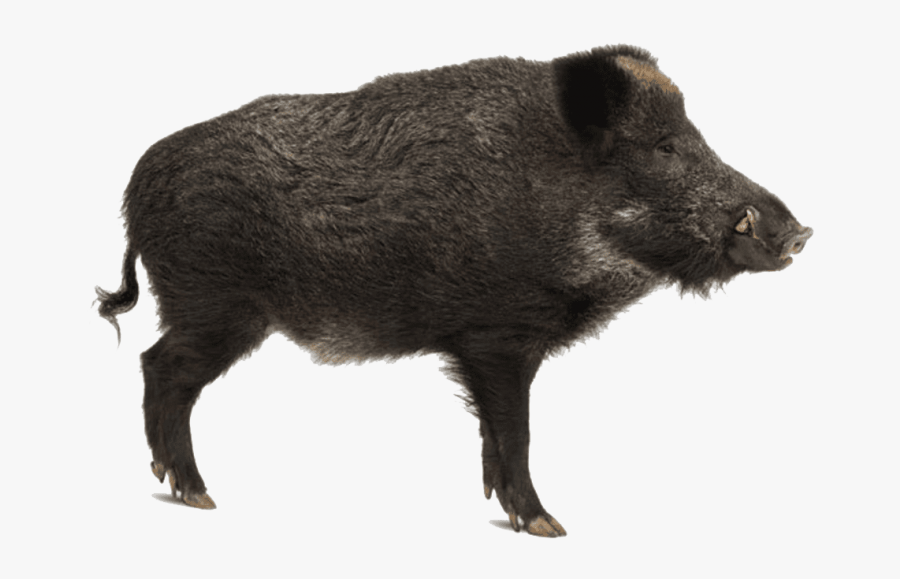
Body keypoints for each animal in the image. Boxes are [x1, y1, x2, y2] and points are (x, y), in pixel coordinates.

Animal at [96, 44, 812, 537]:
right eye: (665, 147)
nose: (800, 232)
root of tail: (136, 192)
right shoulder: (498, 336)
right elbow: (517, 430)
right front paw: (549, 528)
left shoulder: (485, 345)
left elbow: (495, 435)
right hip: (217, 305)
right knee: (159, 367)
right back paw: (200, 495)